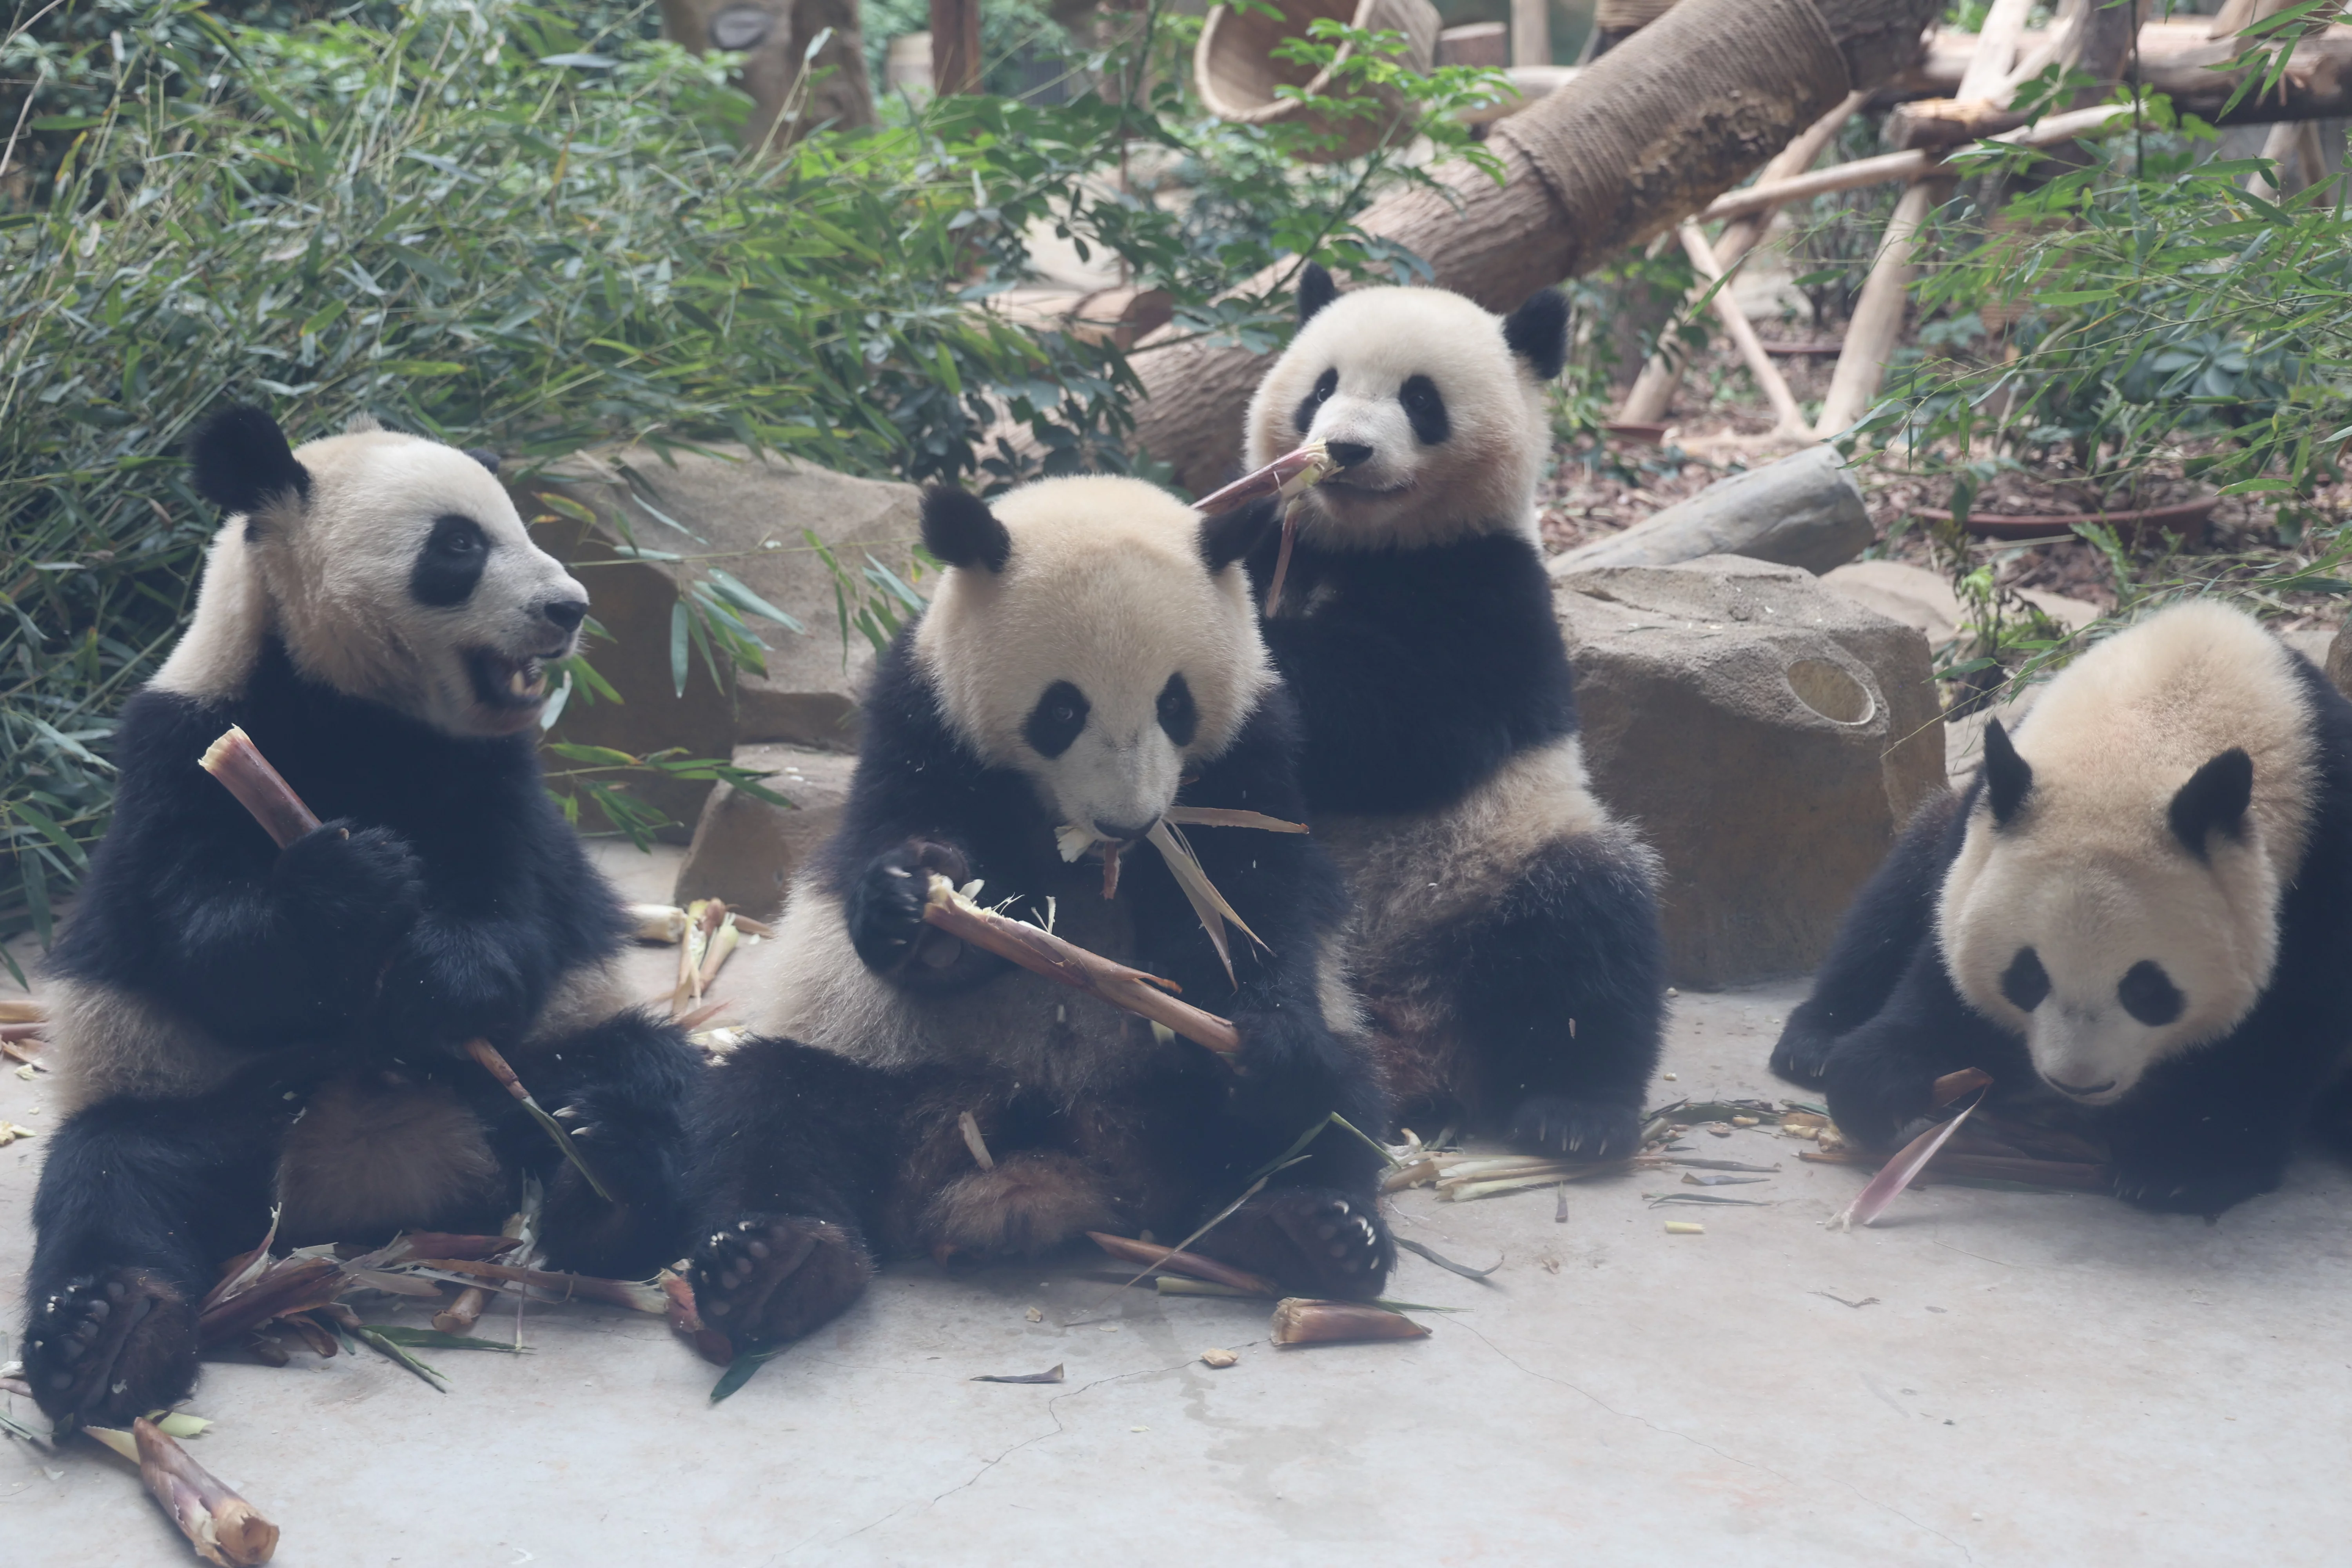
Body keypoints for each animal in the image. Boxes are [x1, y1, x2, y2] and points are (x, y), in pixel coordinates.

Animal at [21, 406, 700, 1426]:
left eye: (518, 522)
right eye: (459, 546)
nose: (569, 607)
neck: (351, 704)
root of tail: (372, 1191)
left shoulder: (493, 772)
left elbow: (514, 905)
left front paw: (438, 972)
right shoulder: (184, 749)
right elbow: (208, 945)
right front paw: (350, 879)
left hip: (546, 1061)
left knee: (645, 1080)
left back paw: (613, 1180)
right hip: (197, 1100)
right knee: (114, 1182)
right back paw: (108, 1339)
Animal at [683, 476, 1394, 1349]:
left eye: (1177, 704)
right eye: (1062, 710)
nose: (1128, 821)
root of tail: (1050, 1160)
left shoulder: (1252, 744)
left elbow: (1251, 901)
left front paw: (1267, 1035)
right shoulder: (921, 713)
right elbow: (887, 834)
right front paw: (922, 912)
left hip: (1182, 1086)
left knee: (1337, 1105)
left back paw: (1307, 1228)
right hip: (872, 1052)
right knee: (769, 1107)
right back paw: (777, 1263)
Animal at [1229, 264, 1666, 1161]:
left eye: (1421, 399)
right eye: (1321, 387)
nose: (1347, 449)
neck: (1362, 546)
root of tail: (1417, 1042)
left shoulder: (1491, 595)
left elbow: (1403, 727)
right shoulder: (1272, 544)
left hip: (1497, 864)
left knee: (1591, 926)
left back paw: (1577, 1113)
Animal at [1771, 600, 2352, 1216]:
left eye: (2147, 989)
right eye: (2027, 976)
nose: (2079, 1084)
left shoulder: (2323, 855)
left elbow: (2290, 1022)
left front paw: (2184, 1165)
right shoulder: (1984, 820)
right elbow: (1941, 960)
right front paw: (1883, 1083)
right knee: (1893, 900)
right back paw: (1813, 1046)